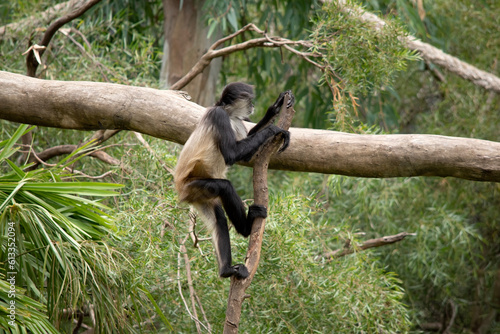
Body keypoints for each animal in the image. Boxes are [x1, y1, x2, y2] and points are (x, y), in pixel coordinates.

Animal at [175, 83, 294, 280]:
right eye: (250, 99)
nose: (253, 105)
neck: (227, 112)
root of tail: (182, 191)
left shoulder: (236, 121)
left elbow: (245, 157)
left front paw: (275, 107)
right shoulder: (220, 116)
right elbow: (232, 155)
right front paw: (273, 130)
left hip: (200, 196)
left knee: (219, 220)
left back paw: (225, 270)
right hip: (196, 186)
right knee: (225, 187)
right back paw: (246, 228)